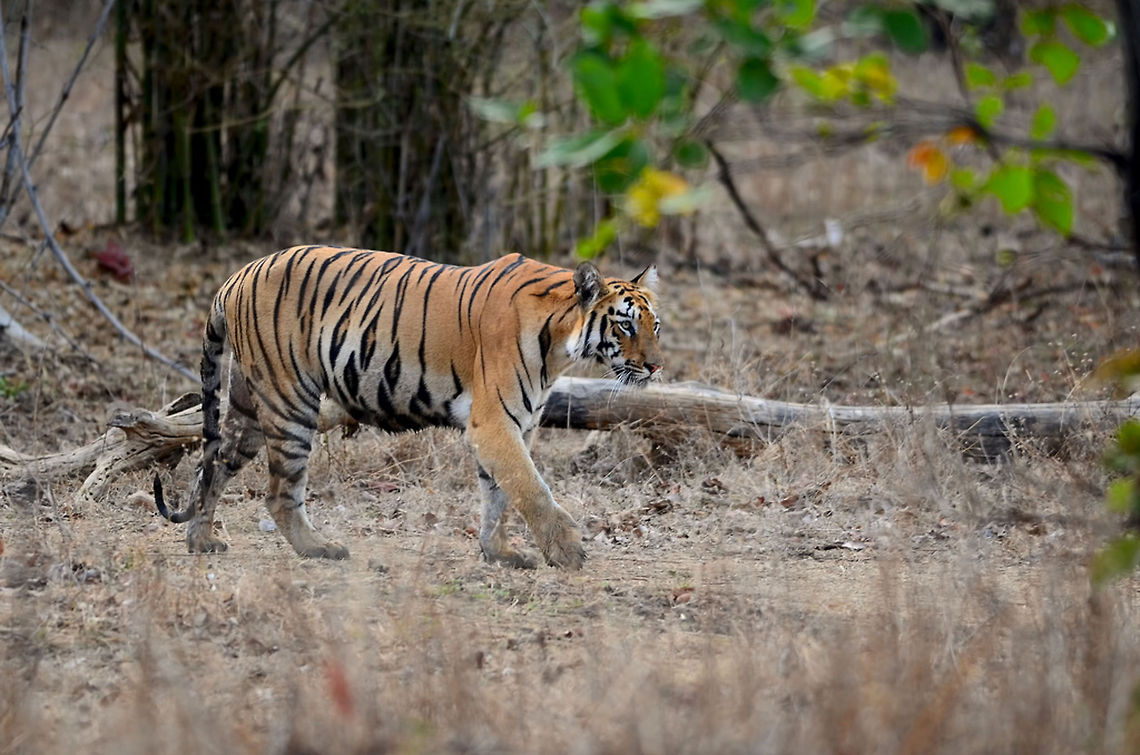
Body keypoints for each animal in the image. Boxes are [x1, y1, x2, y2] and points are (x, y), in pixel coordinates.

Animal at [153, 245, 662, 569]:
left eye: (654, 325)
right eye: (624, 326)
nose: (656, 366)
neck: (559, 344)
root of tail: (235, 277)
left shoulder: (515, 424)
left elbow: (498, 494)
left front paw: (499, 553)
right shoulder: (494, 423)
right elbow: (530, 487)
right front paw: (568, 550)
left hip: (247, 405)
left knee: (213, 465)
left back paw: (201, 539)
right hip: (290, 400)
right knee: (280, 492)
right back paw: (320, 548)